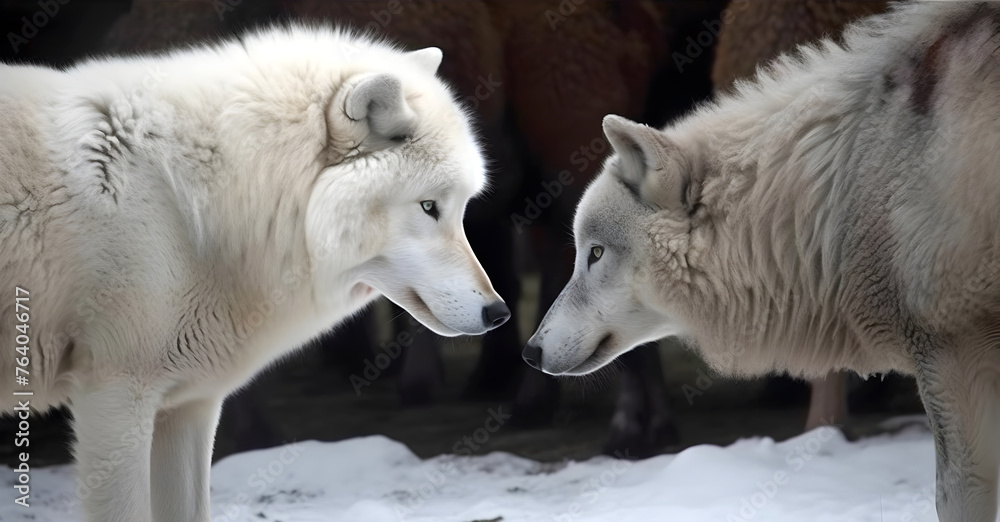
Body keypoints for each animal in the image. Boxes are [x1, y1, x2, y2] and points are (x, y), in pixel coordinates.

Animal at [0, 26, 509, 522]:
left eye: (462, 207)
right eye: (428, 206)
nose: (498, 313)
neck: (196, 207)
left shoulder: (188, 406)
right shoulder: (115, 398)